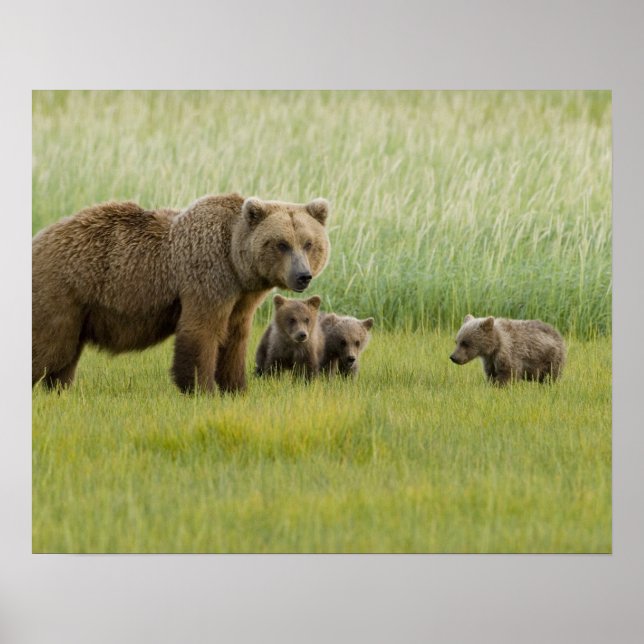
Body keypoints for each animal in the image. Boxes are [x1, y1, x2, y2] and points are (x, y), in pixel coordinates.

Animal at [32, 193, 331, 393]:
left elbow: (235, 338)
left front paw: (235, 387)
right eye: (281, 244)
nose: (303, 276)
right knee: (50, 345)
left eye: (309, 243)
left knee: (65, 354)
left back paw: (58, 388)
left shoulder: (242, 297)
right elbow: (202, 330)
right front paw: (200, 388)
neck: (235, 262)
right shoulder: (207, 276)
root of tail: (39, 237)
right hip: (63, 290)